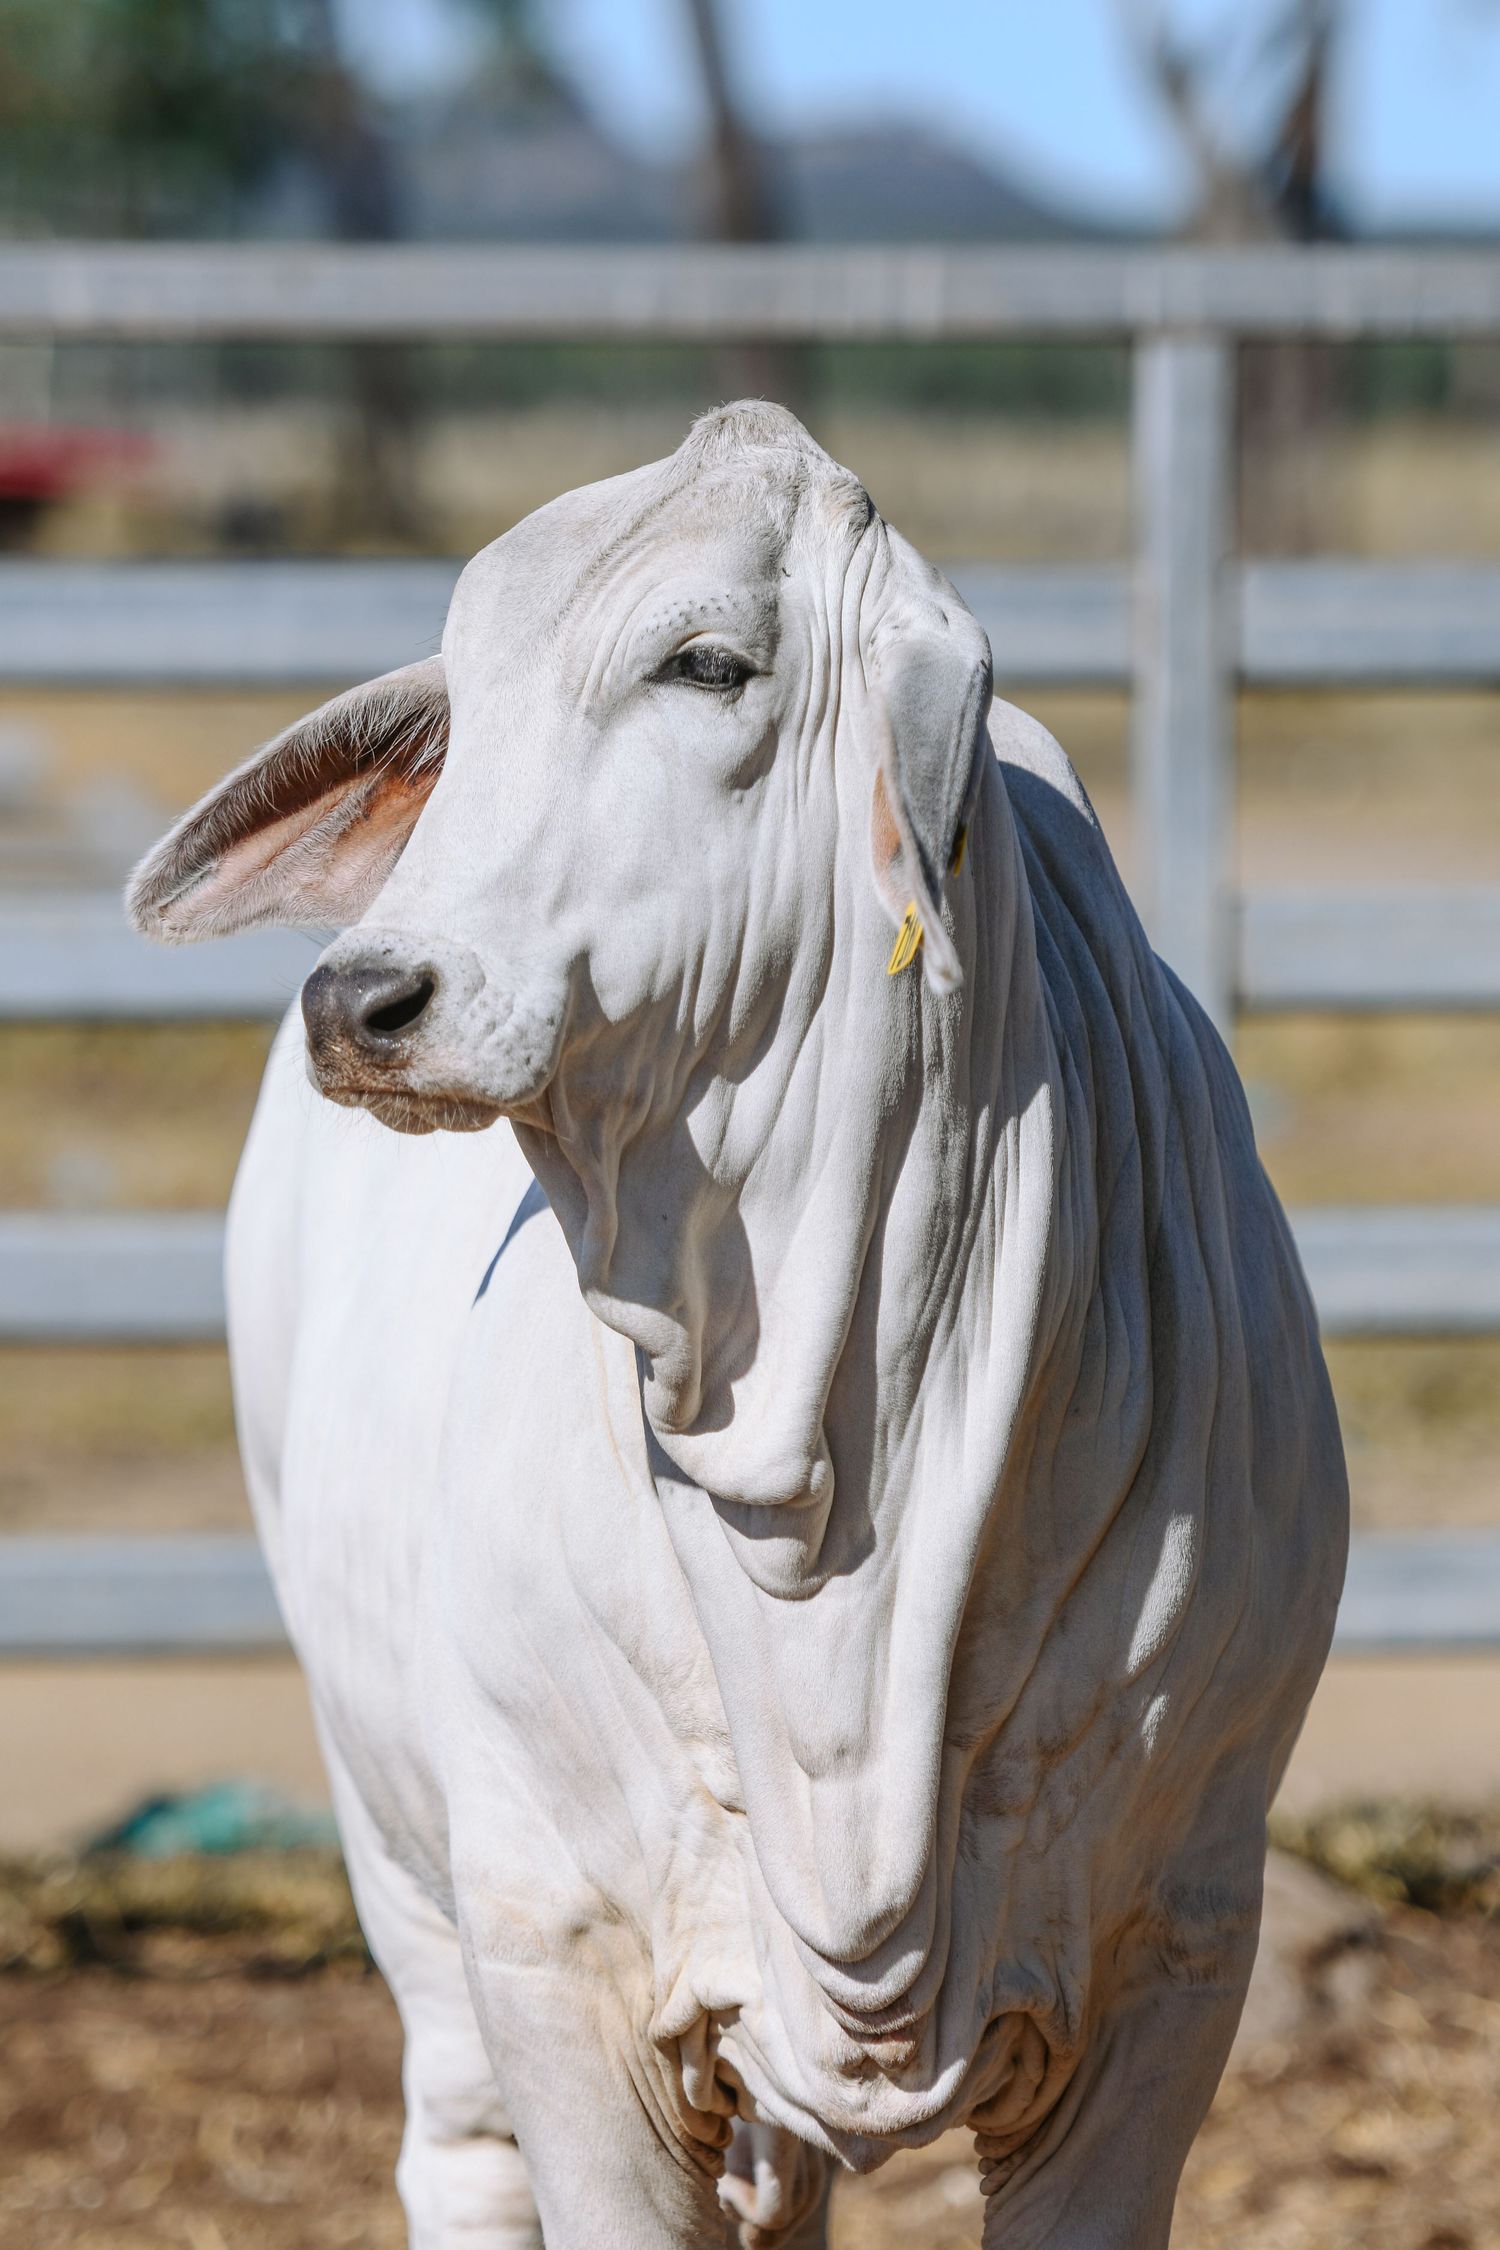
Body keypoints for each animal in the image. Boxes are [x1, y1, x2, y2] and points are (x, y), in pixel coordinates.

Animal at [128, 402, 1348, 2249]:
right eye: (464, 696)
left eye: (707, 663)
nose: (362, 998)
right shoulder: (556, 1951)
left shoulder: (1176, 1952)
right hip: (404, 1859)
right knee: (457, 2143)